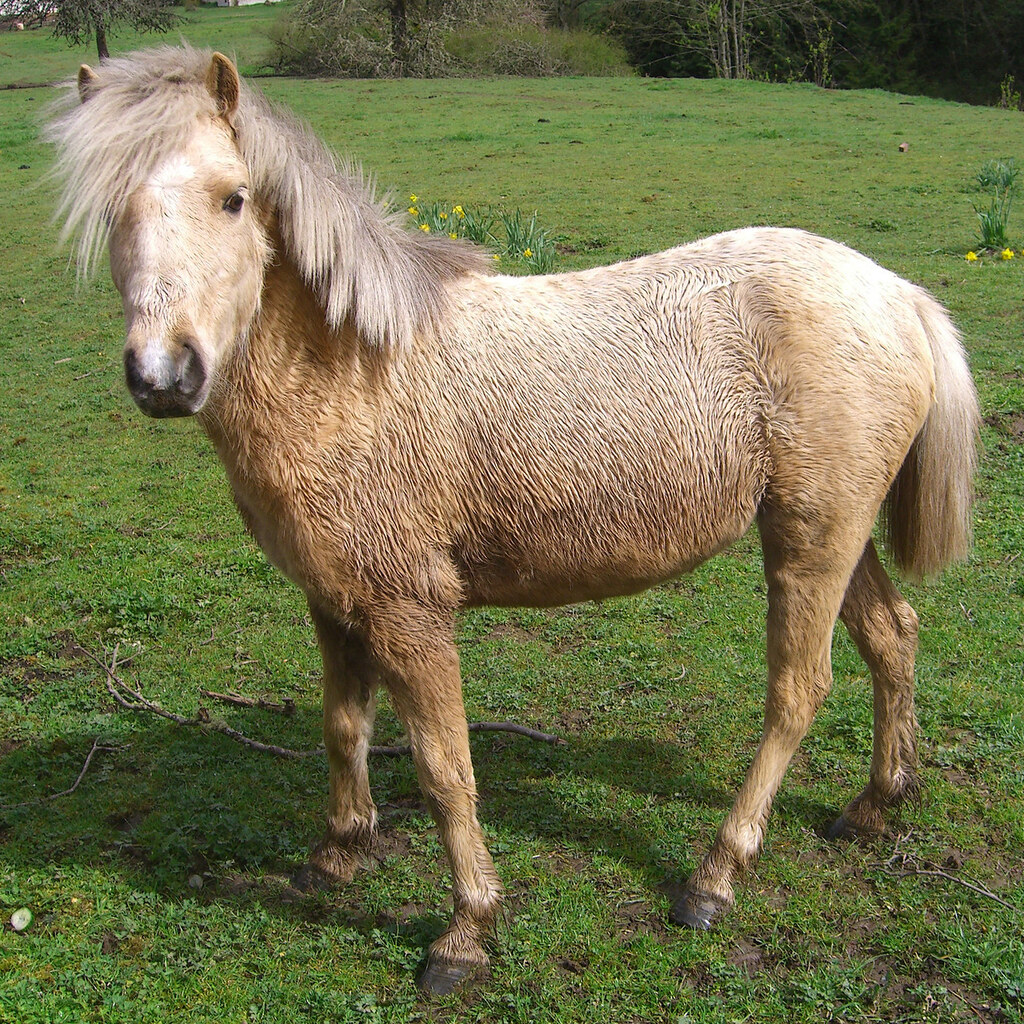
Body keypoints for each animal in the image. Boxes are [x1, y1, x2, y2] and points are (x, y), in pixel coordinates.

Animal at [47, 47, 980, 994]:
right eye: (109, 207)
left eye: (233, 197)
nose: (165, 374)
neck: (353, 373)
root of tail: (898, 293)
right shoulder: (332, 600)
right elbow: (344, 726)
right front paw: (338, 853)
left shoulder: (409, 611)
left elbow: (444, 767)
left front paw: (466, 931)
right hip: (828, 532)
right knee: (893, 635)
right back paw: (873, 805)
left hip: (810, 542)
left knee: (797, 691)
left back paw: (713, 878)